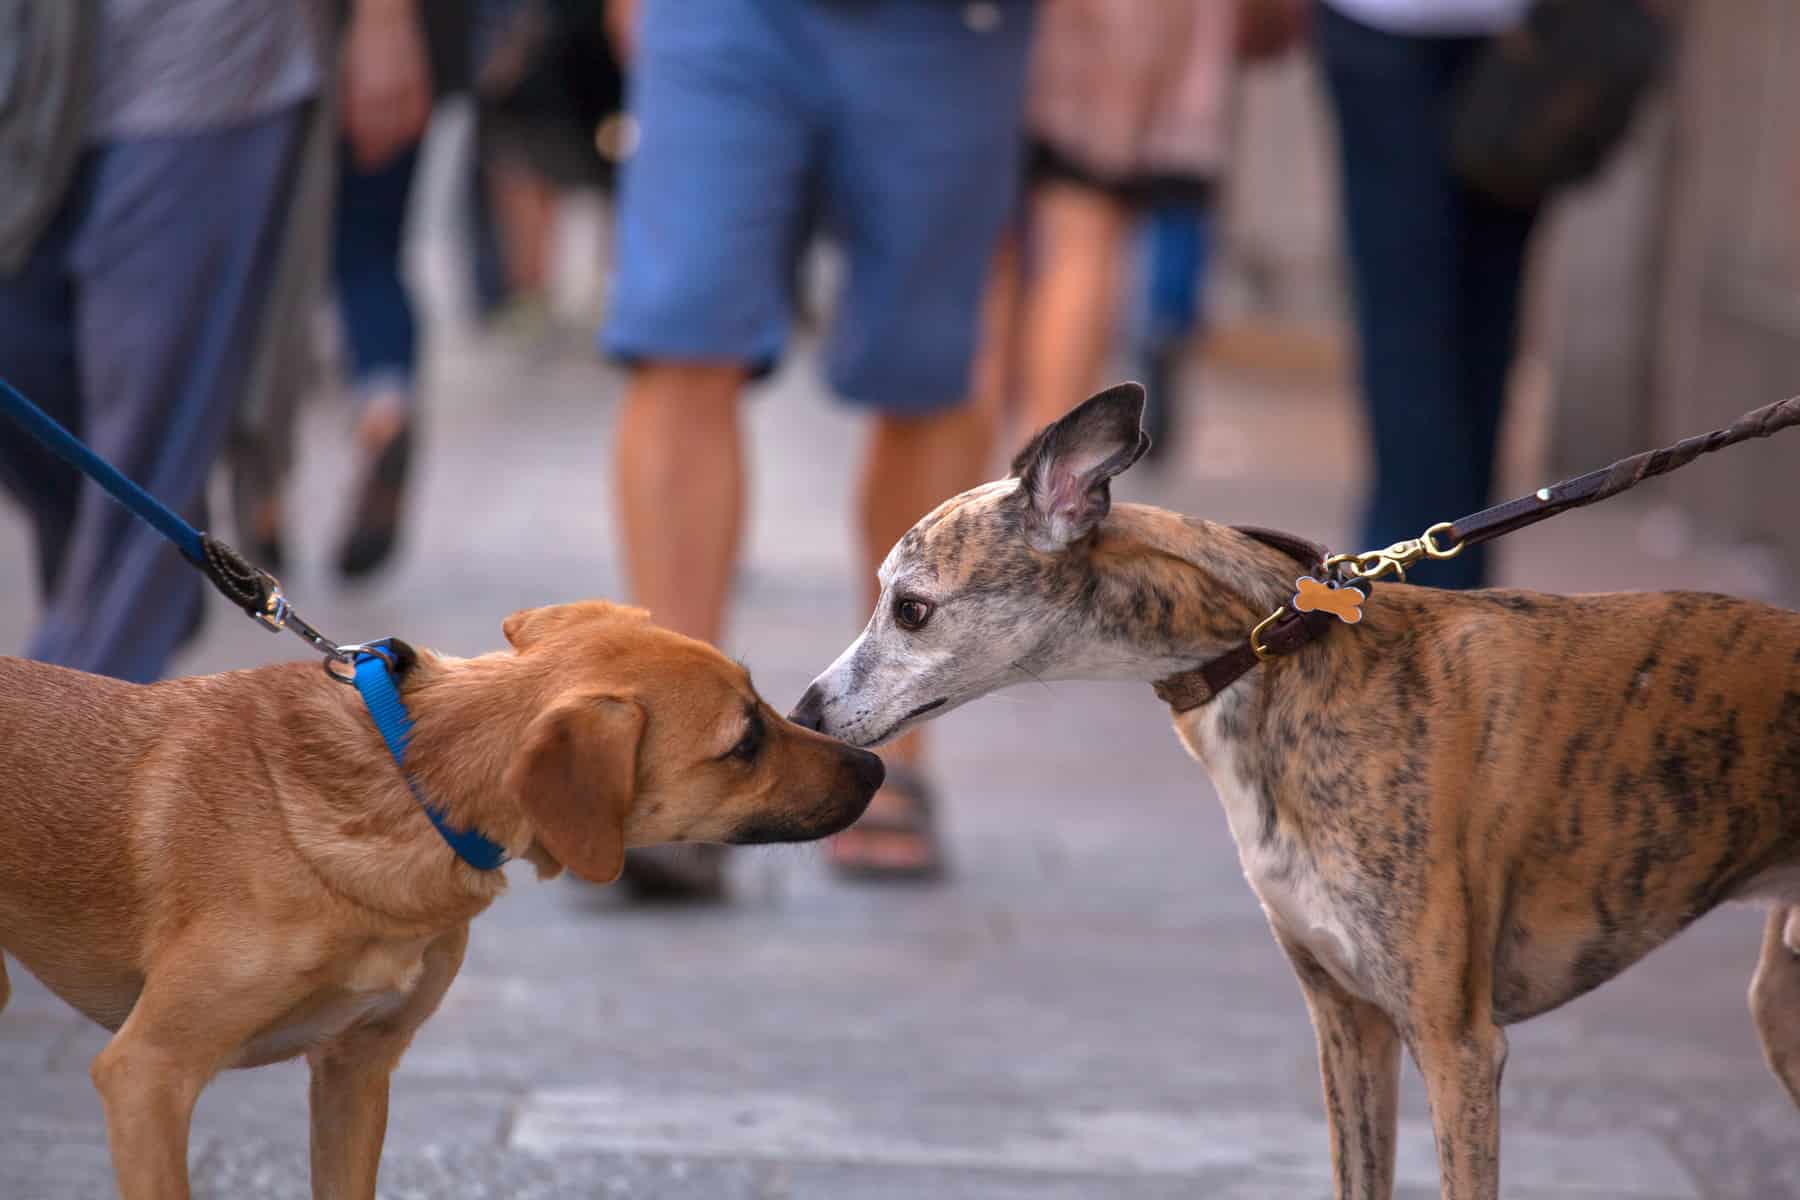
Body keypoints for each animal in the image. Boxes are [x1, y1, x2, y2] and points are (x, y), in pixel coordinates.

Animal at [792, 386, 1800, 1200]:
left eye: (911, 608)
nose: (802, 712)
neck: (1276, 654)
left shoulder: (1459, 1043)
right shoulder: (1348, 1021)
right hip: (1778, 1003)